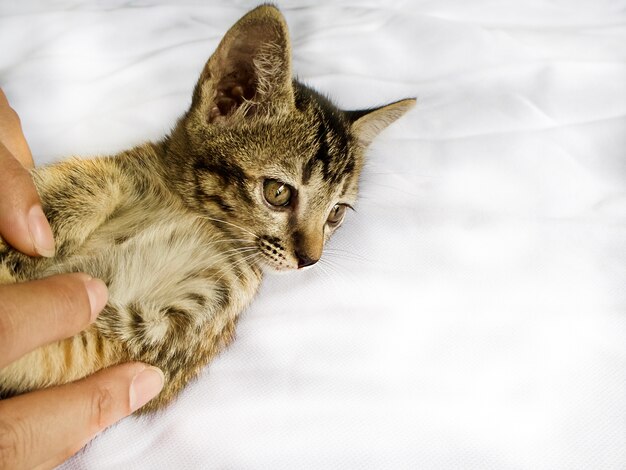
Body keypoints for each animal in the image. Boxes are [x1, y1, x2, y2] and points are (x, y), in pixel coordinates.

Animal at [0, 5, 414, 414]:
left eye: (336, 214)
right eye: (278, 192)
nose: (310, 259)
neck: (198, 217)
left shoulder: (174, 337)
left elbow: (99, 326)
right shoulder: (128, 170)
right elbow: (101, 180)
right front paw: (47, 232)